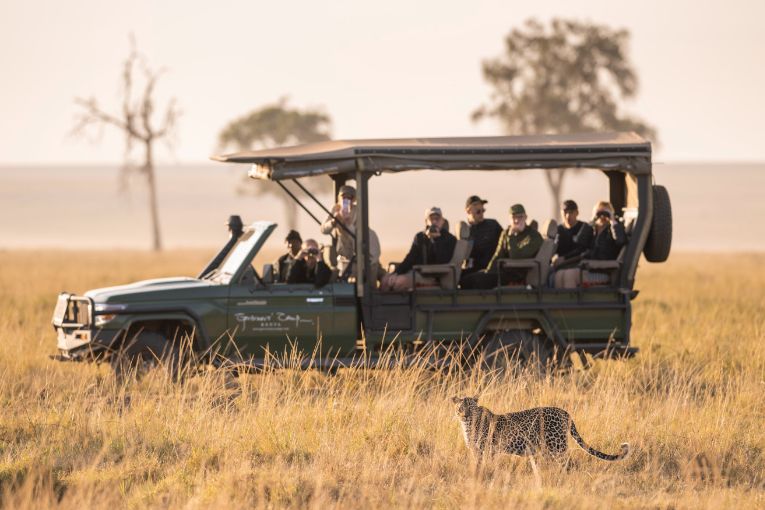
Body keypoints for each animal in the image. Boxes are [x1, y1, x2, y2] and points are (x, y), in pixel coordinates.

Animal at [454, 394, 628, 462]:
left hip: (557, 444)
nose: (465, 415)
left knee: (566, 462)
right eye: (460, 408)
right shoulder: (477, 451)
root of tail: (565, 412)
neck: (468, 426)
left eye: (471, 407)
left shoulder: (486, 450)